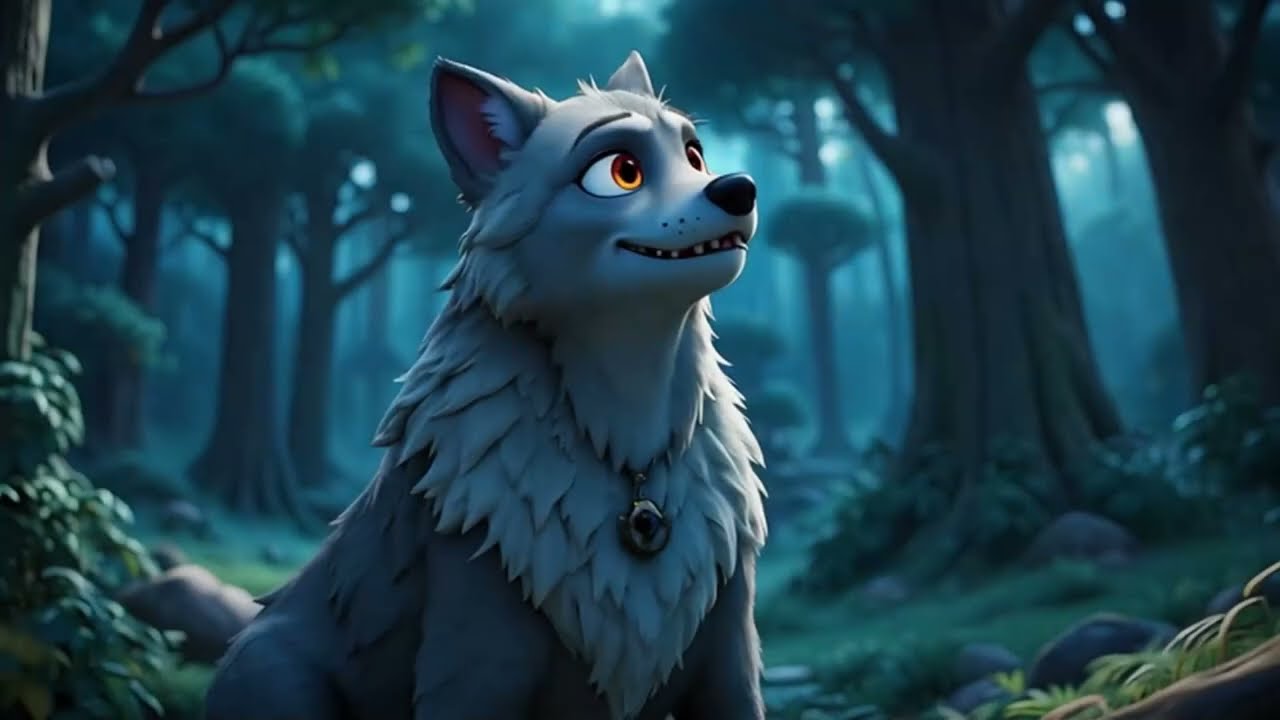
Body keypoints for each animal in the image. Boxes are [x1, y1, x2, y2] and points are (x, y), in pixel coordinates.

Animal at [204, 50, 767, 720]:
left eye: (694, 155)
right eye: (621, 172)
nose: (738, 187)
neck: (629, 454)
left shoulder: (730, 647)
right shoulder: (476, 645)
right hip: (272, 672)